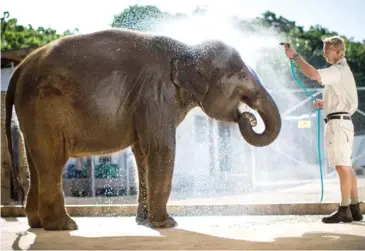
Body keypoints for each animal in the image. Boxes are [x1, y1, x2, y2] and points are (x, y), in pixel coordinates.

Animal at [5, 28, 282, 230]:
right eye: (243, 78)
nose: (249, 118)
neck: (187, 49)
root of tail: (20, 68)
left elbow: (142, 153)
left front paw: (144, 223)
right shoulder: (155, 94)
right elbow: (161, 148)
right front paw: (167, 224)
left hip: (31, 113)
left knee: (35, 163)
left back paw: (37, 224)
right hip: (43, 108)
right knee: (52, 160)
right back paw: (65, 226)